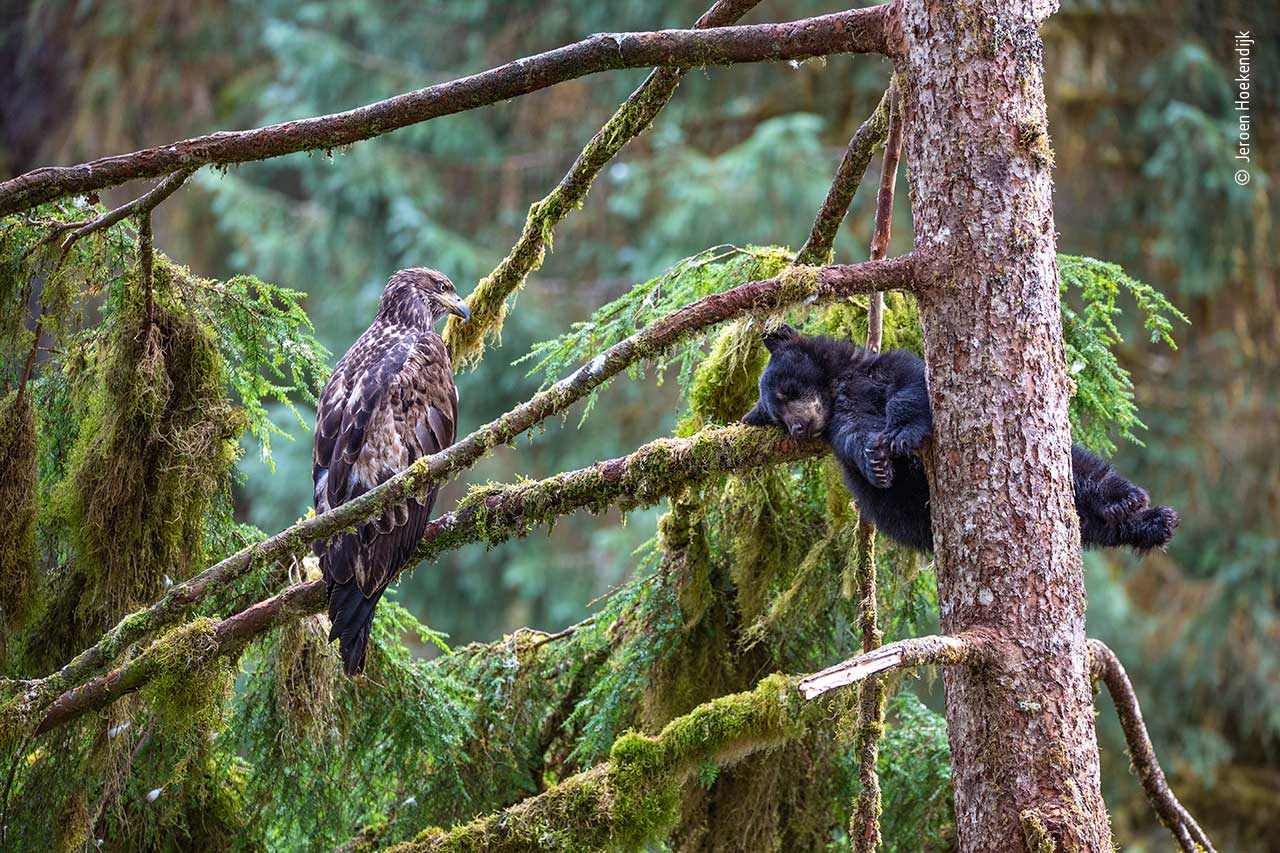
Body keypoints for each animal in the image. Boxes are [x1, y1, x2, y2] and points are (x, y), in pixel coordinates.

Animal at [741, 324, 1178, 554]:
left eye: (788, 390)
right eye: (777, 418)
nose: (798, 428)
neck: (841, 387)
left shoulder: (880, 370)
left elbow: (909, 385)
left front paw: (901, 436)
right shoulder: (840, 423)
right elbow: (853, 438)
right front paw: (877, 462)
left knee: (1083, 473)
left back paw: (1133, 504)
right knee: (1089, 524)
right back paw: (1148, 524)